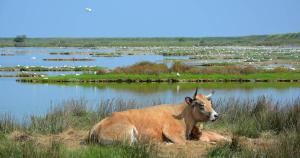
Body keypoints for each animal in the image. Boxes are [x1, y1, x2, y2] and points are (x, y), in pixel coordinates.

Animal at [90, 89, 226, 144]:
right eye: (201, 105)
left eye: (211, 103)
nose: (216, 115)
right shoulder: (172, 133)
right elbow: (183, 142)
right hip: (128, 132)